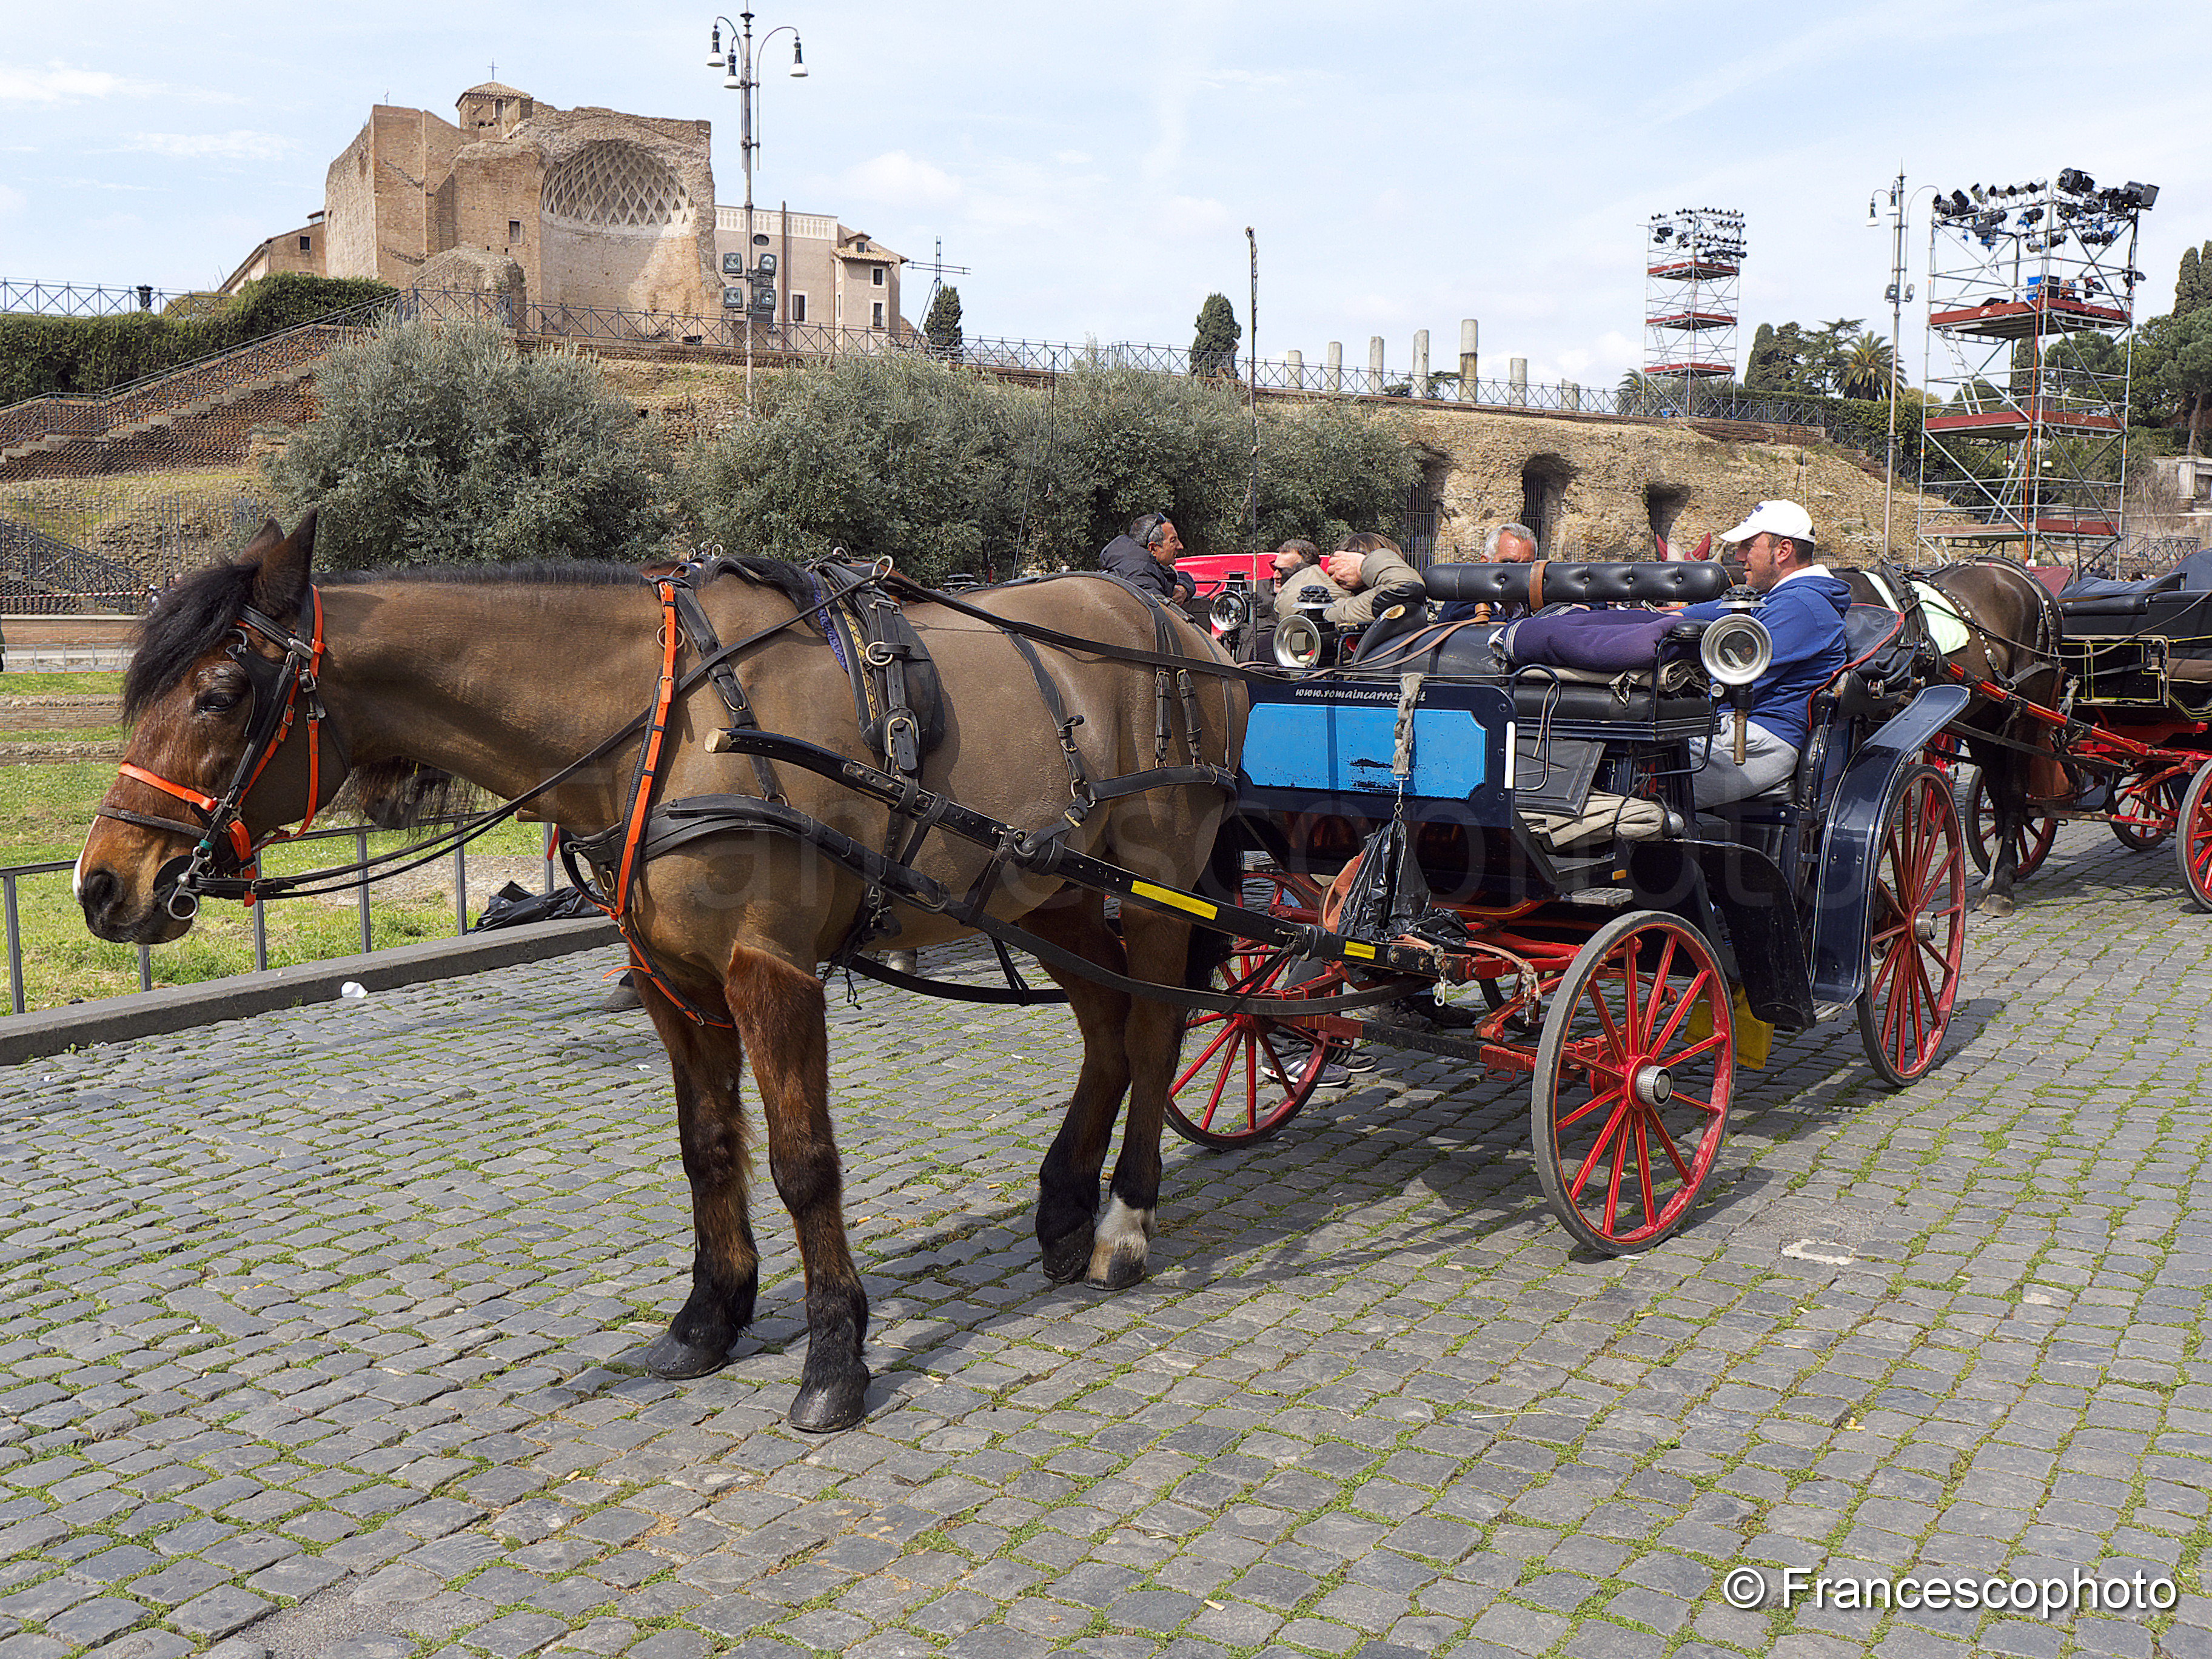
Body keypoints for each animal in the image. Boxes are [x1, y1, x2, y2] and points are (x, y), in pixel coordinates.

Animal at [73, 511, 1249, 1432]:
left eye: (221, 692)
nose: (101, 883)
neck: (666, 719)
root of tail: (1181, 628)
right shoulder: (672, 977)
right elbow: (706, 1149)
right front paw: (710, 1316)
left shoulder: (770, 973)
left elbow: (802, 1163)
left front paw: (834, 1358)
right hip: (1056, 896)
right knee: (1106, 1038)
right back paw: (1062, 1208)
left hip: (1153, 894)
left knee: (1154, 1038)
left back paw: (1124, 1221)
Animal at [1846, 558, 2063, 915]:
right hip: (1985, 718)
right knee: (1997, 790)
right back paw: (1995, 876)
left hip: (2025, 709)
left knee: (2014, 791)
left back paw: (2001, 886)